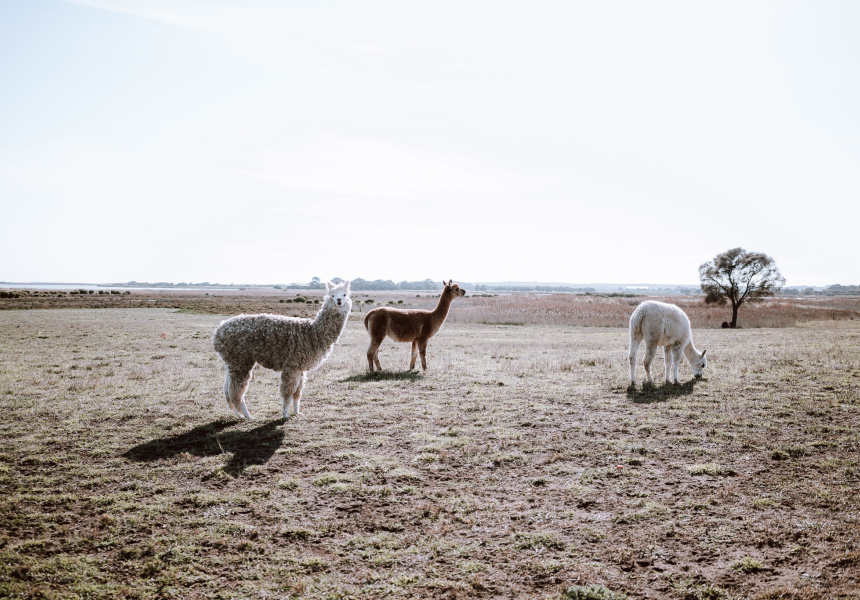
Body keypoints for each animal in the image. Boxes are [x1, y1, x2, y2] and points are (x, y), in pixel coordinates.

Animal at [213, 280, 352, 419]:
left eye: (344, 294)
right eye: (332, 295)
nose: (339, 300)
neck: (313, 334)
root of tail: (219, 331)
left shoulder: (300, 368)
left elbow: (297, 392)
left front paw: (297, 412)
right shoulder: (291, 365)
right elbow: (287, 392)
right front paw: (285, 414)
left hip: (232, 361)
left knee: (227, 390)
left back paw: (239, 415)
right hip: (241, 360)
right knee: (235, 390)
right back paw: (248, 416)